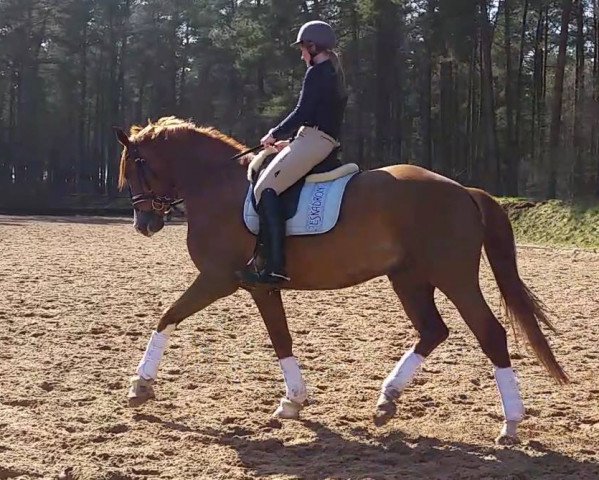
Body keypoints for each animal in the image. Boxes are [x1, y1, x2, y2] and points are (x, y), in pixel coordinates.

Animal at [115, 115, 568, 442]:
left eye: (137, 167)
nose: (143, 223)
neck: (216, 185)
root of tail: (463, 190)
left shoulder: (217, 278)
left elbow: (167, 317)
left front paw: (140, 386)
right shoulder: (262, 285)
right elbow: (281, 339)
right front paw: (293, 403)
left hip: (454, 277)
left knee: (490, 334)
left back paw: (510, 424)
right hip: (409, 278)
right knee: (433, 331)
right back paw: (387, 401)